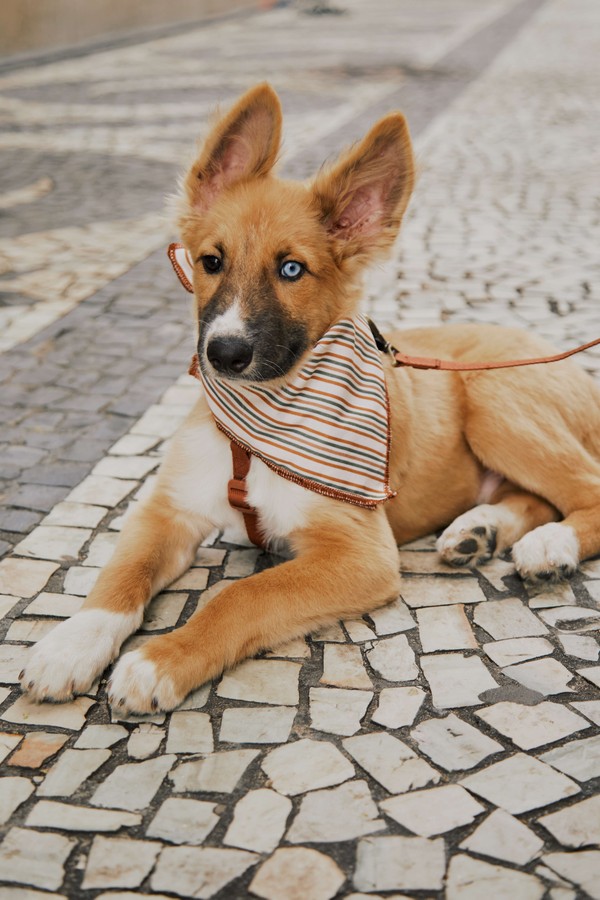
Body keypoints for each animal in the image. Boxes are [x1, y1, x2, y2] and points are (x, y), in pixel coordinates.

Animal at [21, 86, 600, 716]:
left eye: (292, 269)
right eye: (211, 261)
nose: (223, 353)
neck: (257, 427)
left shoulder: (361, 556)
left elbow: (242, 595)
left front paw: (161, 660)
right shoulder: (167, 511)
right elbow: (120, 574)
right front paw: (71, 644)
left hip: (492, 397)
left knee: (586, 489)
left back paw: (550, 545)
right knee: (535, 496)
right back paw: (479, 532)